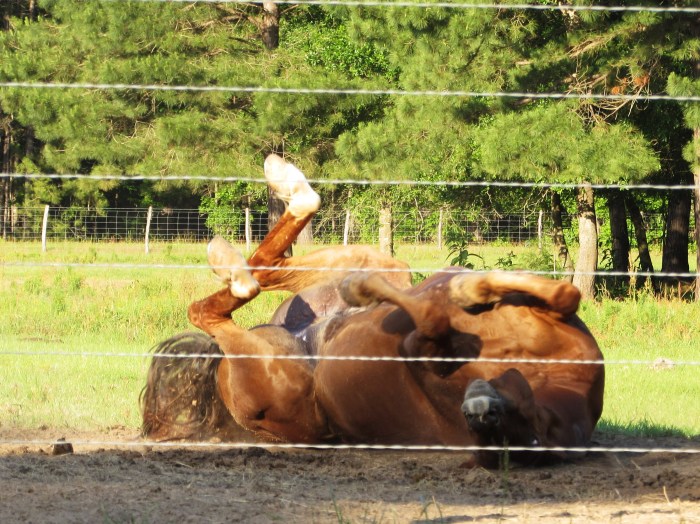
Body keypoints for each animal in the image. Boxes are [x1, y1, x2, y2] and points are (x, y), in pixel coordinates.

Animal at [141, 153, 604, 467]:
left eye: (505, 425)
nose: (478, 407)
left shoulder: (424, 347)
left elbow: (439, 315)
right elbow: (564, 293)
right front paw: (468, 289)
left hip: (275, 365)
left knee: (224, 300)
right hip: (381, 274)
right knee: (267, 270)